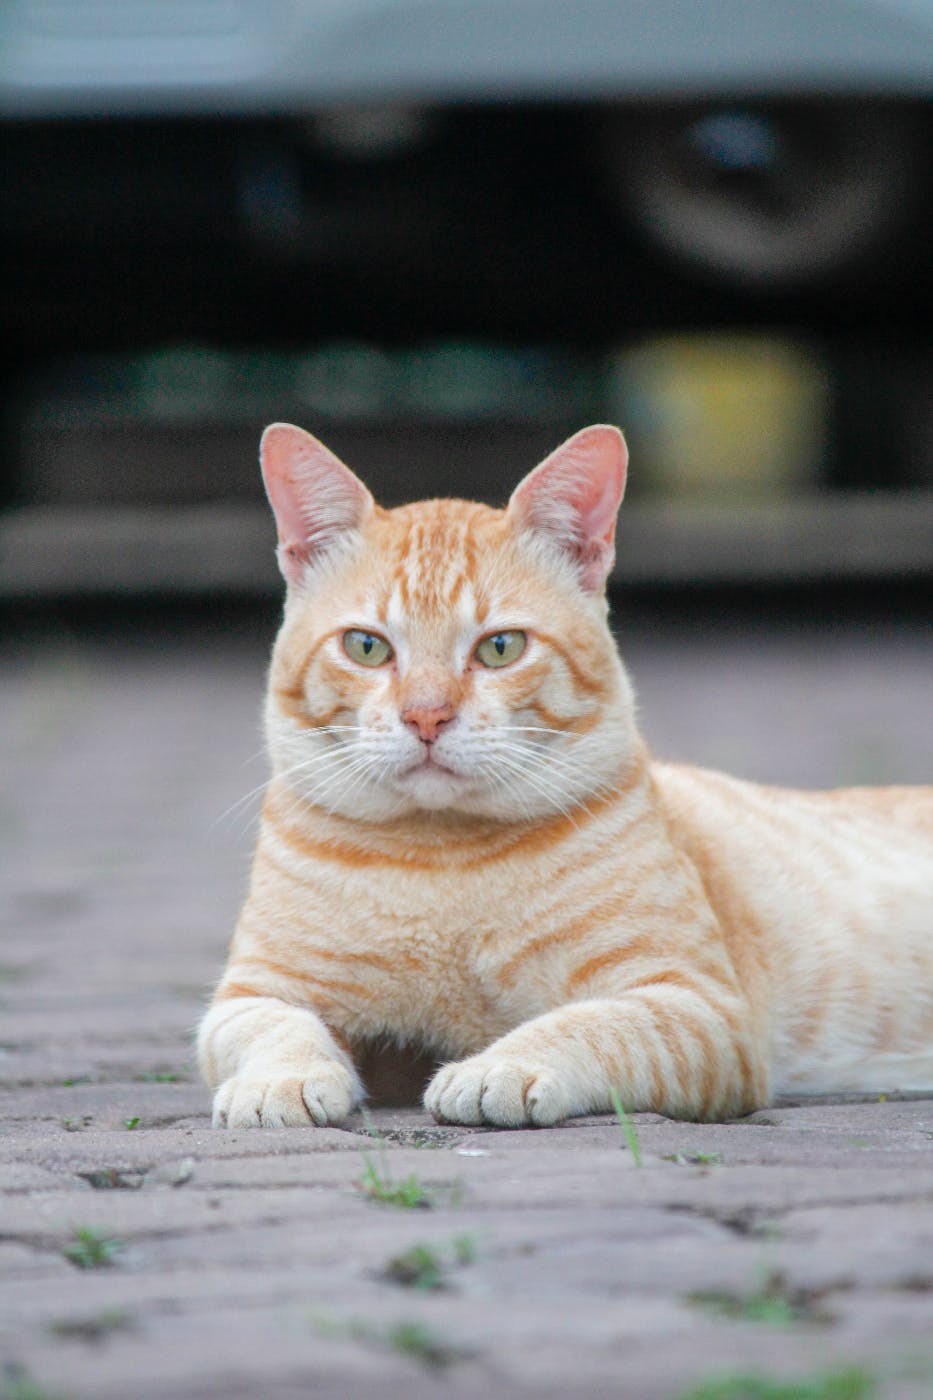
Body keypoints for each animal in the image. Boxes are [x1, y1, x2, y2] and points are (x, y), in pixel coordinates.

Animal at [197, 425, 930, 1125]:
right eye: (366, 647)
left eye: (500, 647)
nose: (426, 716)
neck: (439, 864)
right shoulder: (249, 994)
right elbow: (278, 1028)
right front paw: (280, 1081)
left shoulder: (696, 1006)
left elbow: (589, 1025)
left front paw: (499, 1067)